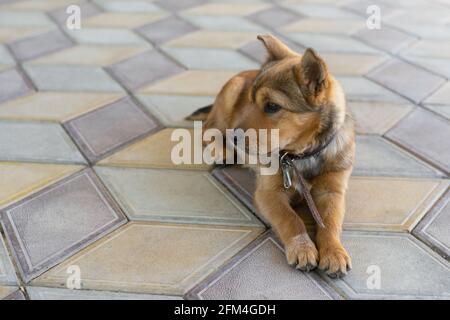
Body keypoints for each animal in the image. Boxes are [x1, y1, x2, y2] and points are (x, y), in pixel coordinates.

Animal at [188, 34, 354, 278]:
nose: (234, 137)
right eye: (251, 100)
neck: (300, 156)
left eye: (272, 106)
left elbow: (330, 222)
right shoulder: (268, 193)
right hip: (228, 96)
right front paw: (302, 247)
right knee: (208, 128)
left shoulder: (333, 191)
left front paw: (334, 252)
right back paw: (220, 150)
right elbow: (291, 219)